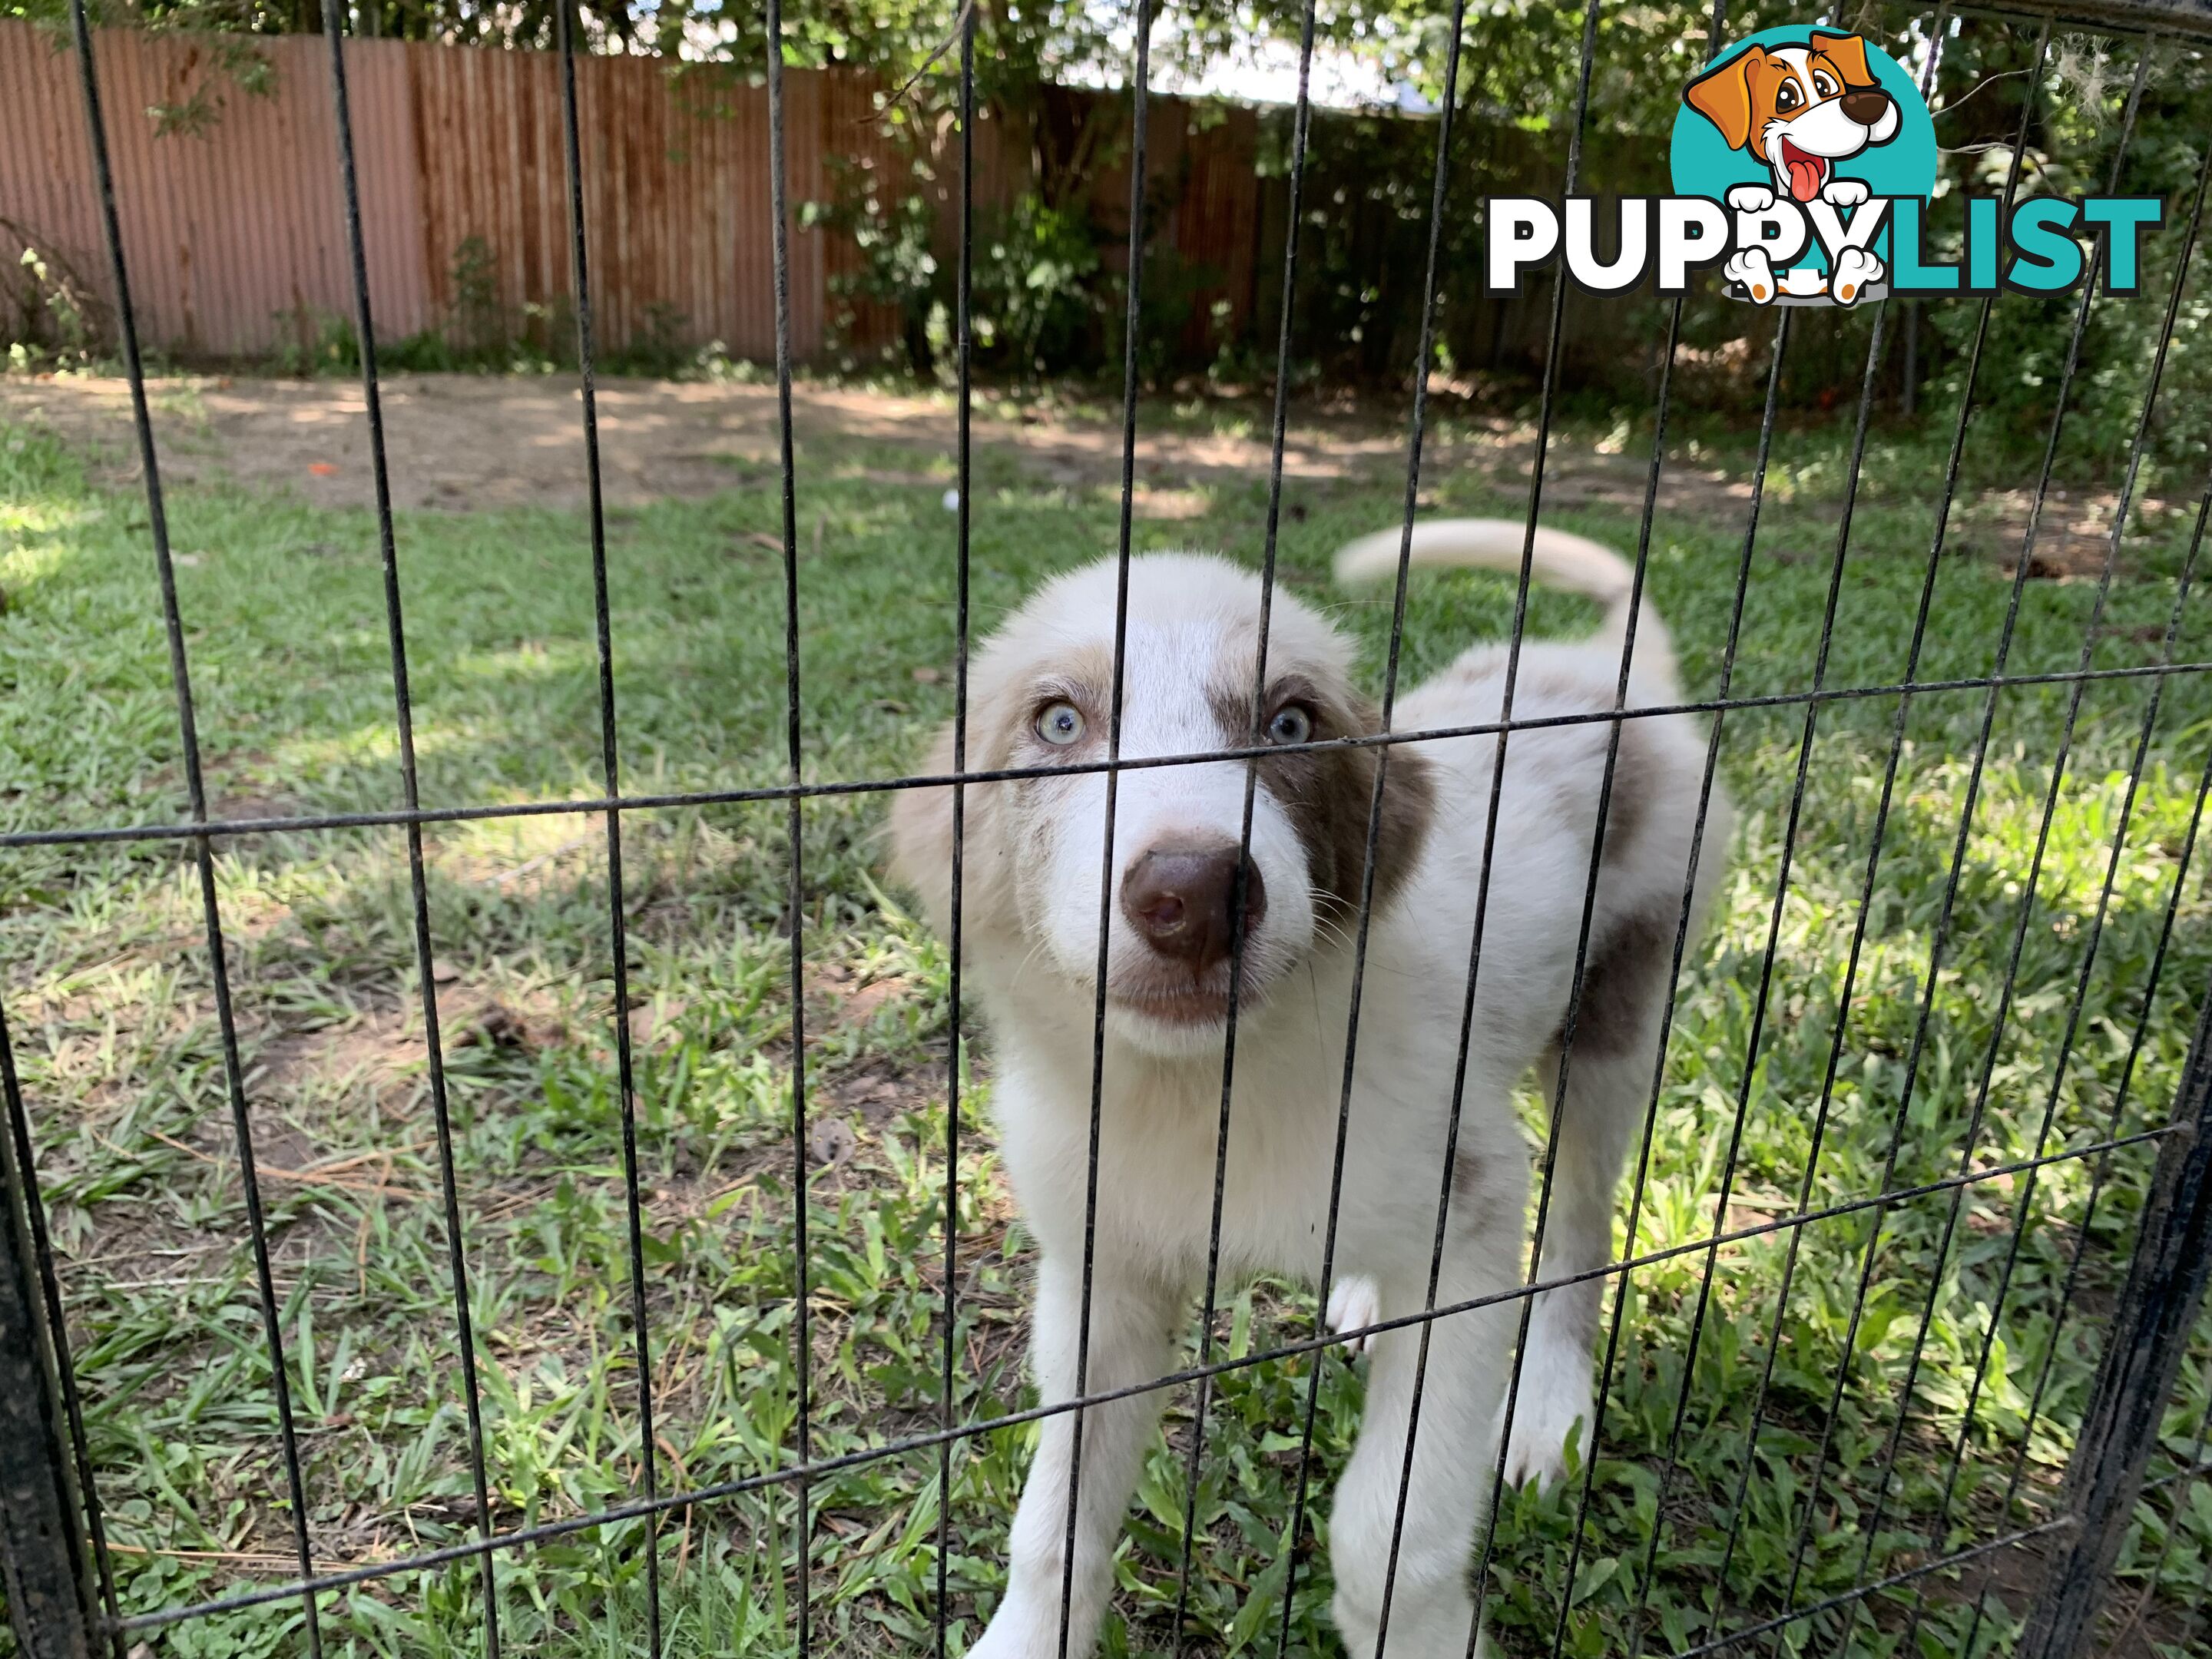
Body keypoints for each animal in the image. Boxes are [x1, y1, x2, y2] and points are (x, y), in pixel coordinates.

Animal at [889, 526, 1734, 1659]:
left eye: (1290, 723)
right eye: (1059, 721)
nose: (1196, 894)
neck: (1205, 1090)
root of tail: (1601, 664)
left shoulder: (1474, 1220)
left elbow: (1390, 1538)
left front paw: (1424, 1639)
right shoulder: (1099, 1272)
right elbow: (1056, 1525)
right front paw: (1022, 1640)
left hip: (1617, 1018)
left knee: (1579, 1229)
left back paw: (1550, 1404)